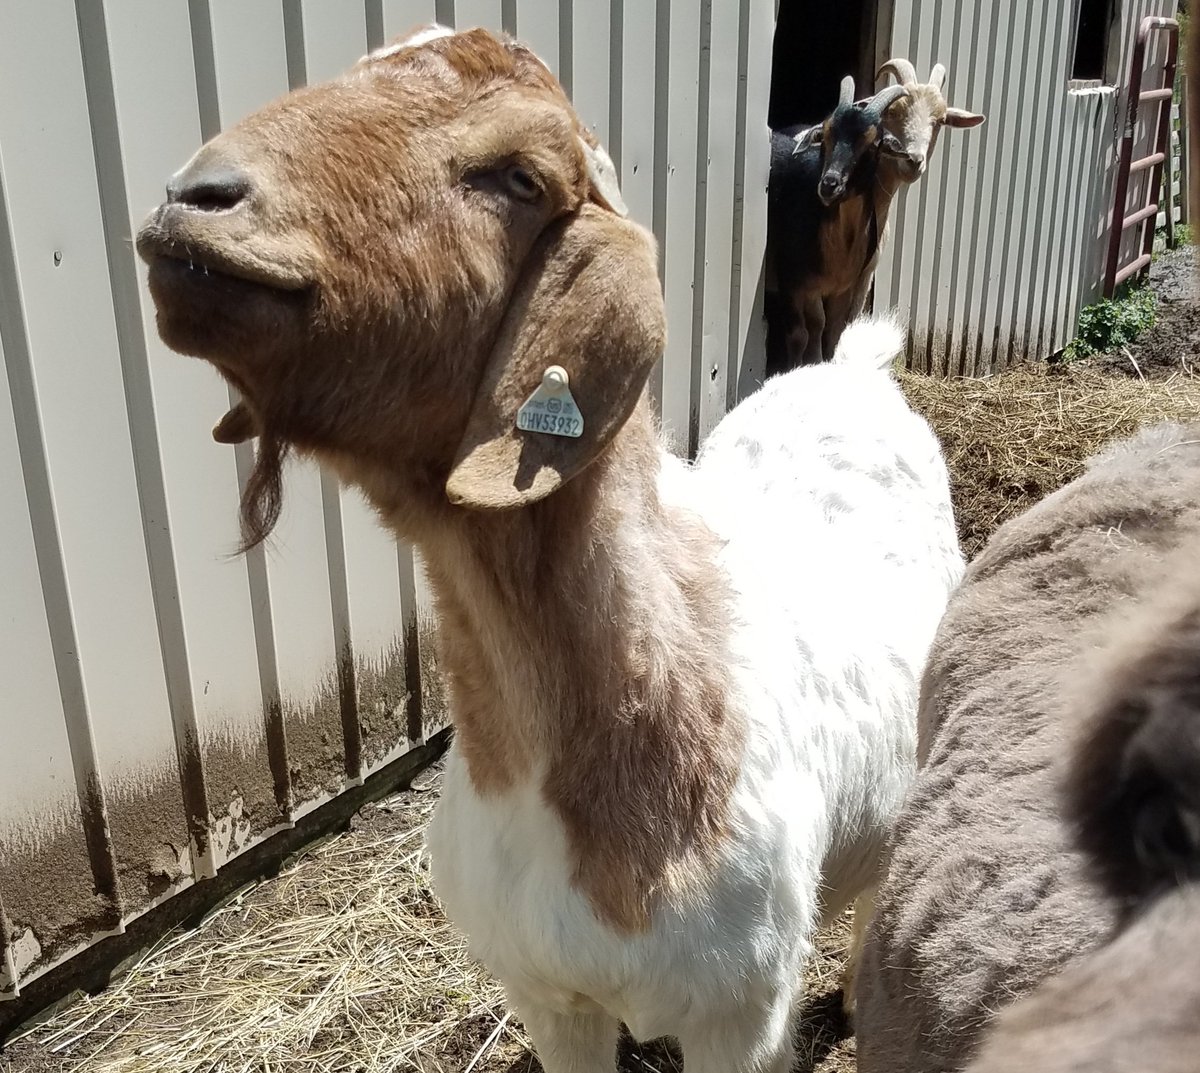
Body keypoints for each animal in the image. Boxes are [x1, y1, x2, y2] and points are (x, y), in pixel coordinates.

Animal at [764, 76, 908, 375]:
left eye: (873, 143)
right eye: (827, 134)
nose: (829, 184)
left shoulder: (841, 288)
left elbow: (832, 330)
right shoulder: (792, 280)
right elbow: (801, 333)